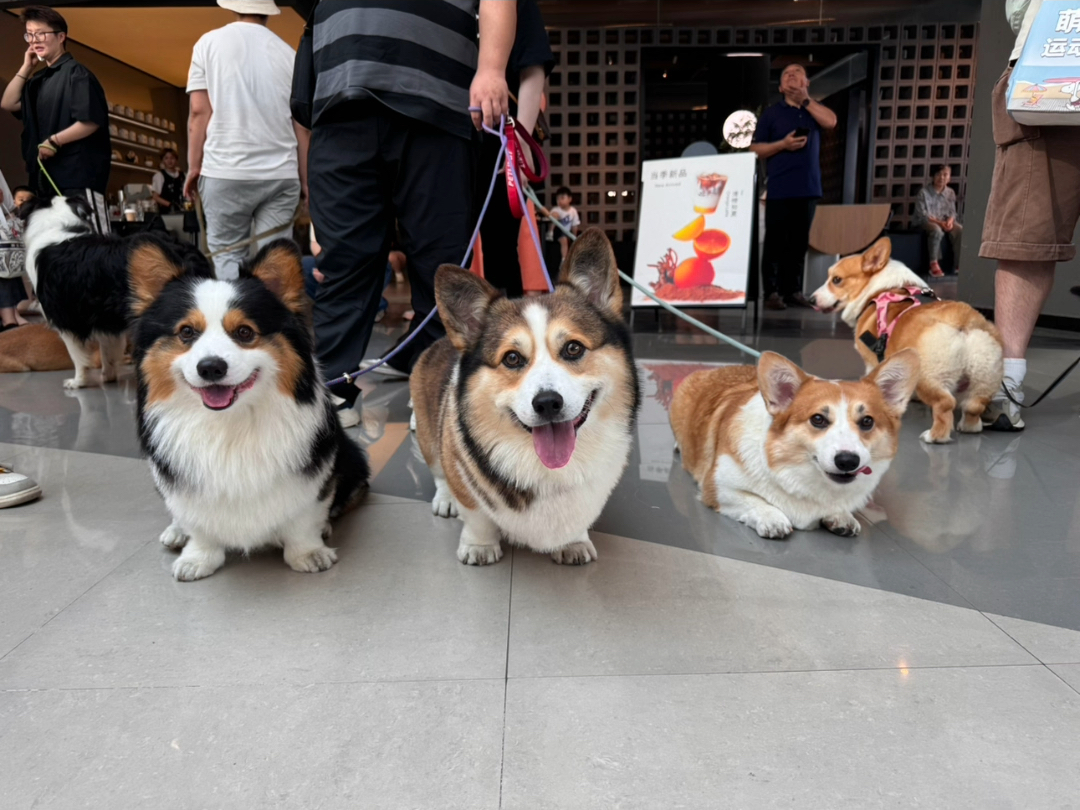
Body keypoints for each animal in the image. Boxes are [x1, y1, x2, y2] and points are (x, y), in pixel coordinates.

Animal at [19, 193, 210, 390]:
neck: (58, 225)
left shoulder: (66, 321)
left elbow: (78, 357)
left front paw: (78, 382)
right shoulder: (105, 321)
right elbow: (108, 352)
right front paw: (107, 376)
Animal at [127, 237, 367, 578]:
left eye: (244, 332)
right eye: (186, 332)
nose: (211, 367)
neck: (230, 422)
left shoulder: (312, 476)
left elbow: (304, 517)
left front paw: (308, 553)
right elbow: (197, 522)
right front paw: (197, 558)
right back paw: (176, 532)